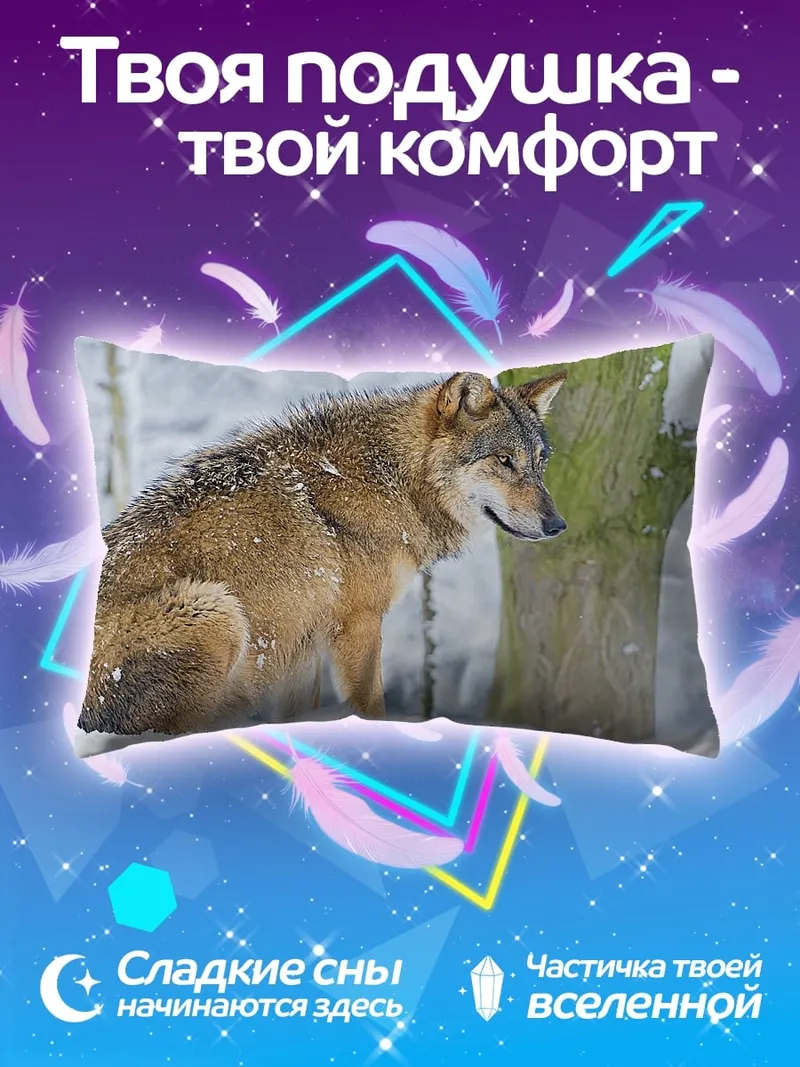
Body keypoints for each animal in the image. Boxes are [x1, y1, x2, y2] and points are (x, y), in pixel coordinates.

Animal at [75, 369, 568, 756]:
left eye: (539, 462)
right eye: (504, 461)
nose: (557, 524)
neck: (392, 479)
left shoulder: (302, 646)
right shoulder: (358, 625)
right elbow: (371, 708)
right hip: (215, 609)